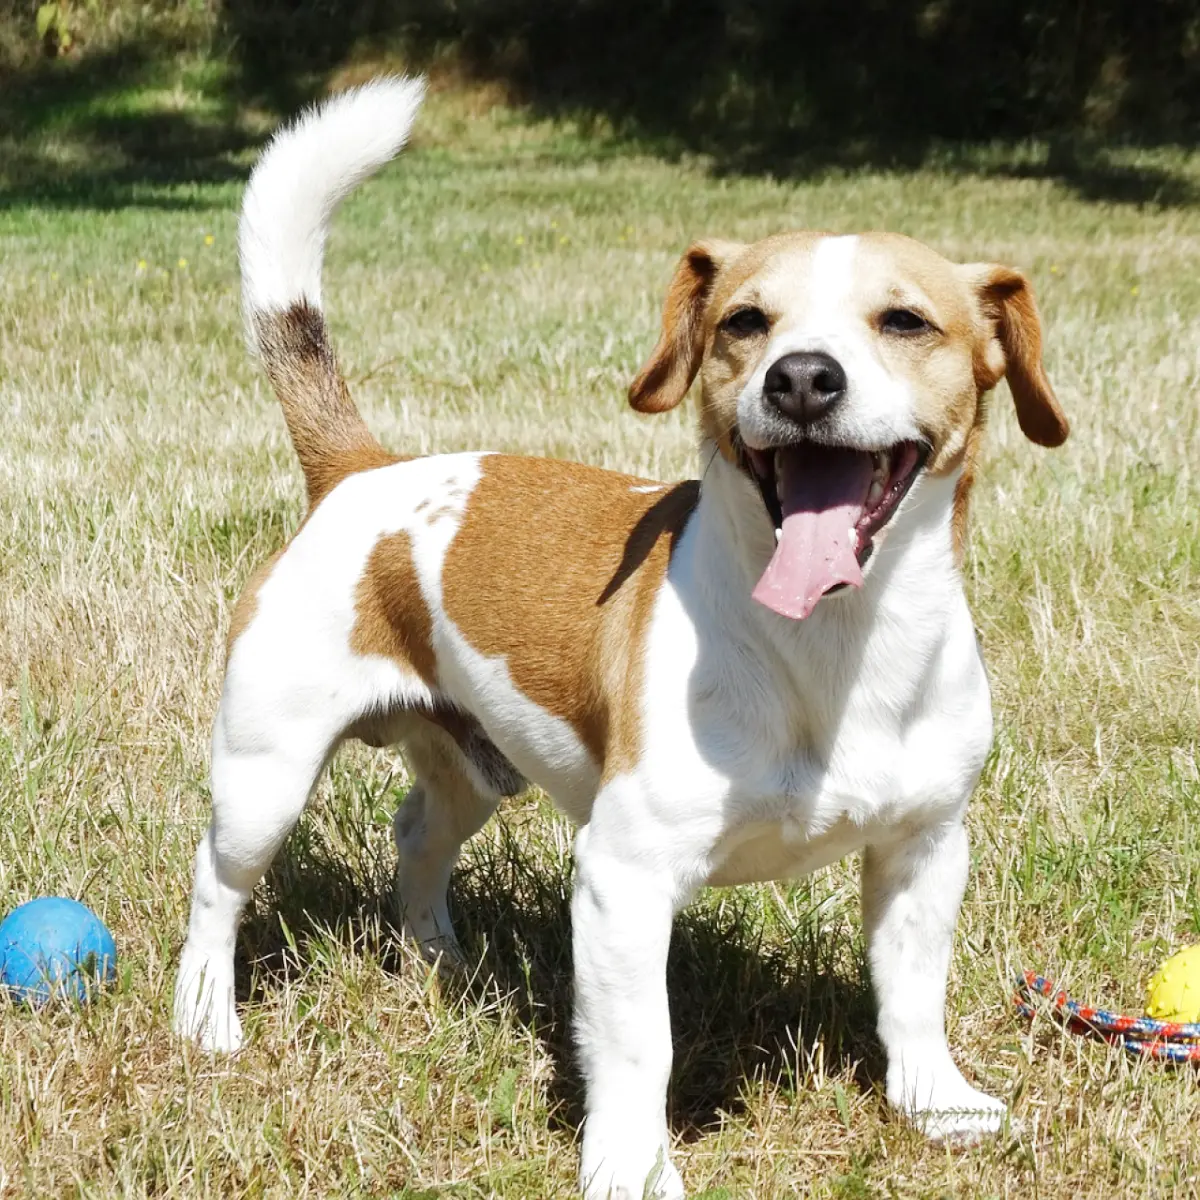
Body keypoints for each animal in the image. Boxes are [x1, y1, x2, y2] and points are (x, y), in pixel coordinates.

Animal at [175, 79, 1070, 1195]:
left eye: (905, 320)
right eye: (744, 322)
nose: (802, 378)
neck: (831, 644)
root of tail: (359, 469)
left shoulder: (925, 849)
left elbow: (913, 992)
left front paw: (936, 1103)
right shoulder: (623, 879)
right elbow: (642, 1046)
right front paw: (633, 1167)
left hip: (472, 768)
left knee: (417, 837)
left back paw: (443, 961)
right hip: (264, 776)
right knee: (216, 888)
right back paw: (206, 1024)